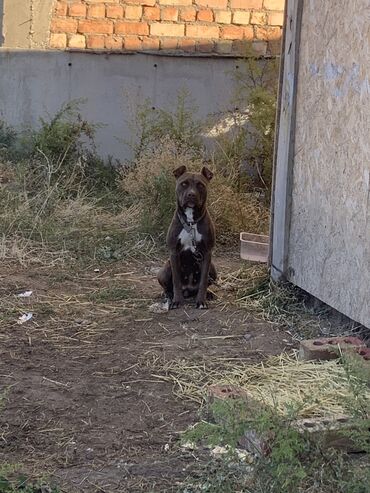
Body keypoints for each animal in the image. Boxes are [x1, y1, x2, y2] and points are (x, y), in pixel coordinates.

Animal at [157, 167, 215, 310]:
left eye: (200, 185)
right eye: (184, 184)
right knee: (168, 287)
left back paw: (209, 294)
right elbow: (176, 280)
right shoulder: (173, 252)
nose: (191, 194)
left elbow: (203, 281)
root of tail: (188, 290)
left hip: (213, 268)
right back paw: (169, 295)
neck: (190, 221)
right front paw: (177, 301)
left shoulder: (207, 253)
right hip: (164, 270)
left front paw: (201, 301)